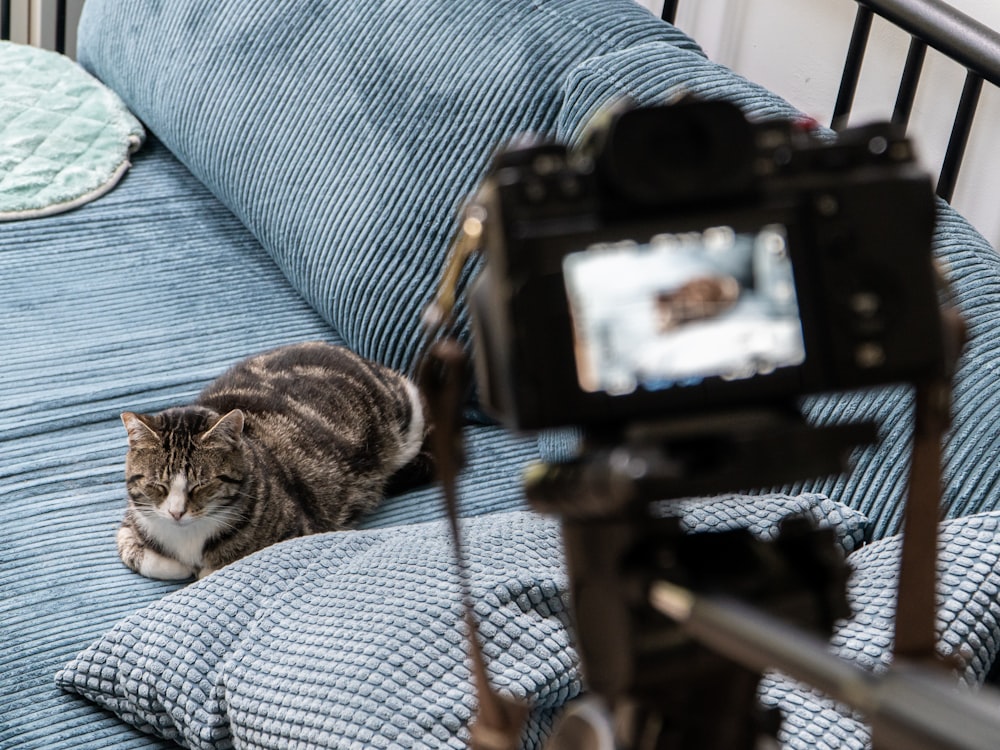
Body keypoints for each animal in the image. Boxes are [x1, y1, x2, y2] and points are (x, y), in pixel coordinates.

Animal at [118, 342, 430, 580]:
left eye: (201, 485)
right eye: (157, 485)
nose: (176, 513)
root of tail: (359, 357)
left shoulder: (296, 531)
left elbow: (216, 569)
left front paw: (202, 570)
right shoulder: (129, 523)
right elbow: (140, 555)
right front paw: (181, 567)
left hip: (404, 418)